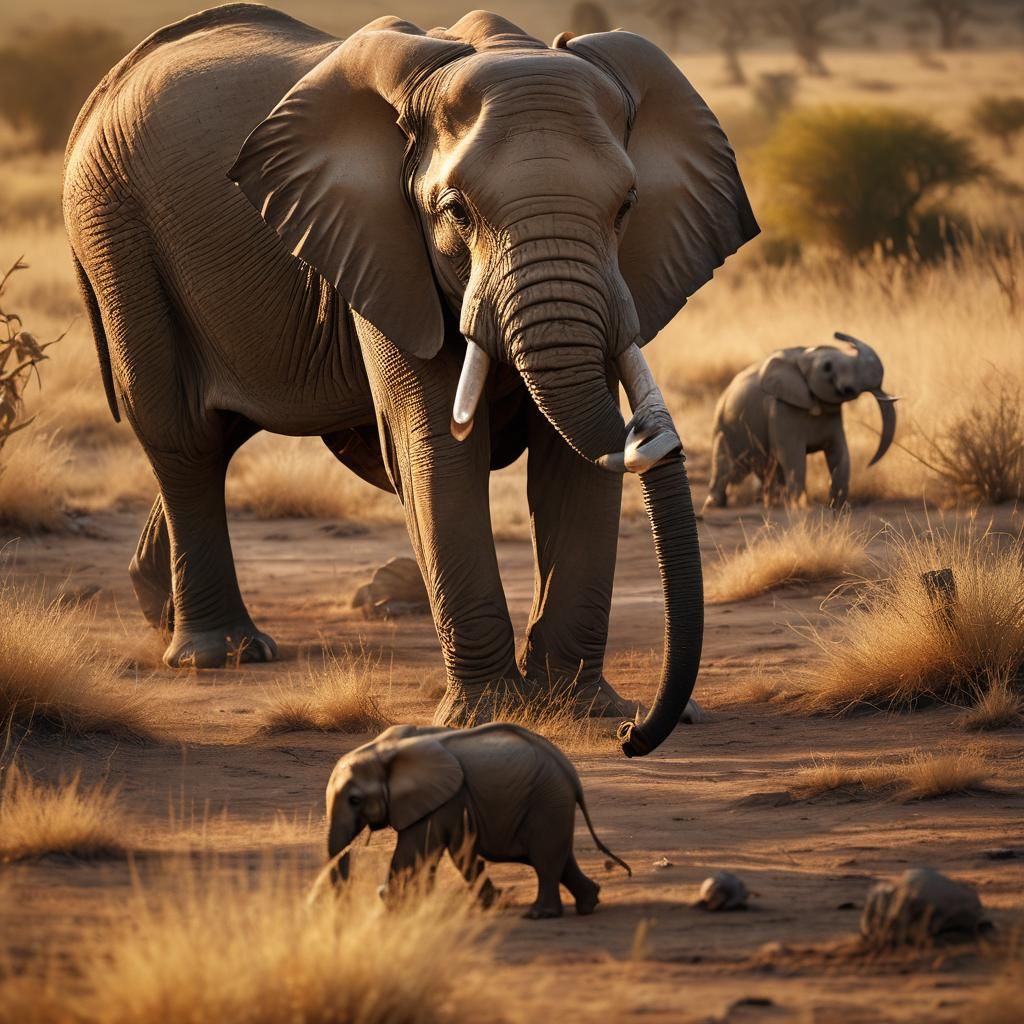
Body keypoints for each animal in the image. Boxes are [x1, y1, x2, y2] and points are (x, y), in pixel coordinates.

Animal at [63, 6, 758, 754]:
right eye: (457, 211)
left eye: (627, 205)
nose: (639, 731)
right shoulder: (382, 246)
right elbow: (436, 449)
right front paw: (490, 715)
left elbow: (573, 463)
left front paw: (583, 710)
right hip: (116, 232)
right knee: (183, 436)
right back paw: (221, 655)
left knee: (217, 437)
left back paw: (164, 614)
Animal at [323, 723, 631, 919]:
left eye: (354, 800)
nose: (344, 911)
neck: (384, 750)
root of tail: (569, 772)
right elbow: (450, 852)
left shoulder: (446, 799)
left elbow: (421, 849)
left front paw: (392, 903)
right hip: (551, 803)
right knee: (558, 856)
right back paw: (588, 903)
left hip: (547, 800)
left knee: (545, 858)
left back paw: (539, 915)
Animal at [703, 333, 897, 511]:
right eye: (827, 366)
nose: (838, 334)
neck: (804, 355)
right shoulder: (781, 408)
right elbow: (792, 455)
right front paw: (801, 508)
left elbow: (839, 452)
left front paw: (838, 506)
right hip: (723, 426)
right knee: (724, 462)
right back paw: (716, 504)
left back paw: (769, 502)